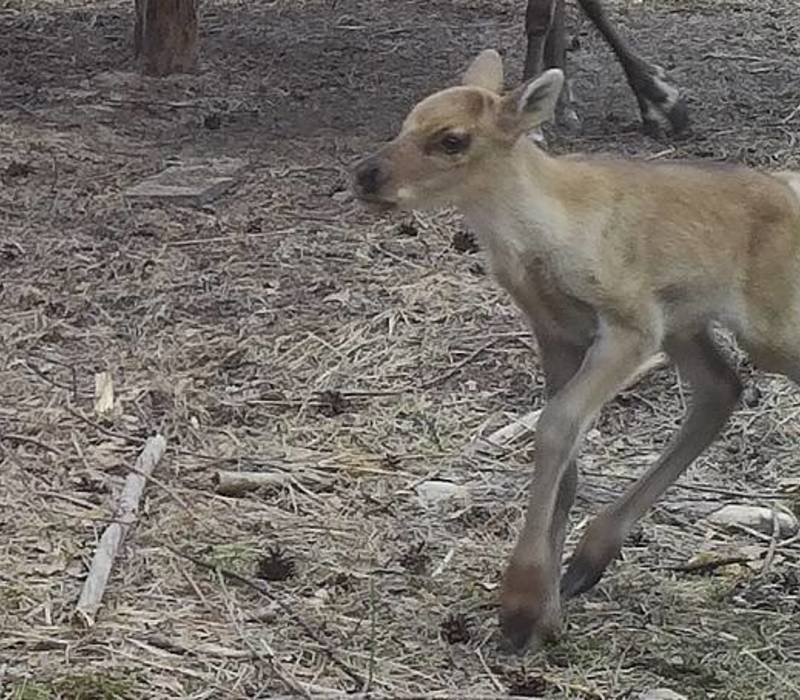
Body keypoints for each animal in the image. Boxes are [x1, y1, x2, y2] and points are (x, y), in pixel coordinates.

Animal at [350, 49, 800, 652]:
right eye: (406, 121)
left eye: (451, 139)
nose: (366, 176)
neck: (548, 236)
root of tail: (789, 192)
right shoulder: (557, 329)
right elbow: (564, 452)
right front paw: (545, 611)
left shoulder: (630, 323)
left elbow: (556, 425)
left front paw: (519, 605)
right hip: (686, 325)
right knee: (720, 389)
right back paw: (588, 561)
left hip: (765, 325)